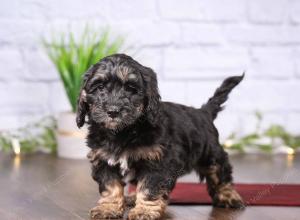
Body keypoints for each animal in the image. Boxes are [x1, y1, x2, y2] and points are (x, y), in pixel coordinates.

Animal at [76, 53, 245, 220]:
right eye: (99, 87)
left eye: (131, 88)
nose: (113, 111)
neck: (123, 132)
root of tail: (203, 112)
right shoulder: (104, 160)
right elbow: (110, 185)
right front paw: (108, 208)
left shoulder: (156, 162)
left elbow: (149, 187)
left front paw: (144, 211)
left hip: (211, 153)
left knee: (220, 173)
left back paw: (228, 196)